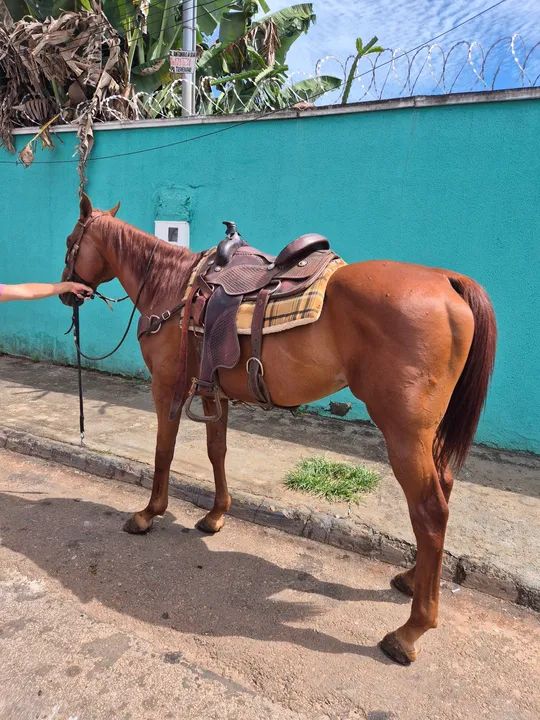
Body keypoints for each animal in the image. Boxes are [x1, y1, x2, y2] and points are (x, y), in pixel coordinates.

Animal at [60, 193, 496, 665]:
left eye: (70, 241)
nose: (67, 290)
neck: (175, 287)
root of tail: (446, 280)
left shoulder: (168, 386)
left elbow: (164, 452)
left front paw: (148, 514)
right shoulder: (212, 390)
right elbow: (216, 451)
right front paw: (215, 515)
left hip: (403, 432)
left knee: (429, 511)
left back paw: (410, 631)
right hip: (427, 433)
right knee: (442, 490)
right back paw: (412, 580)